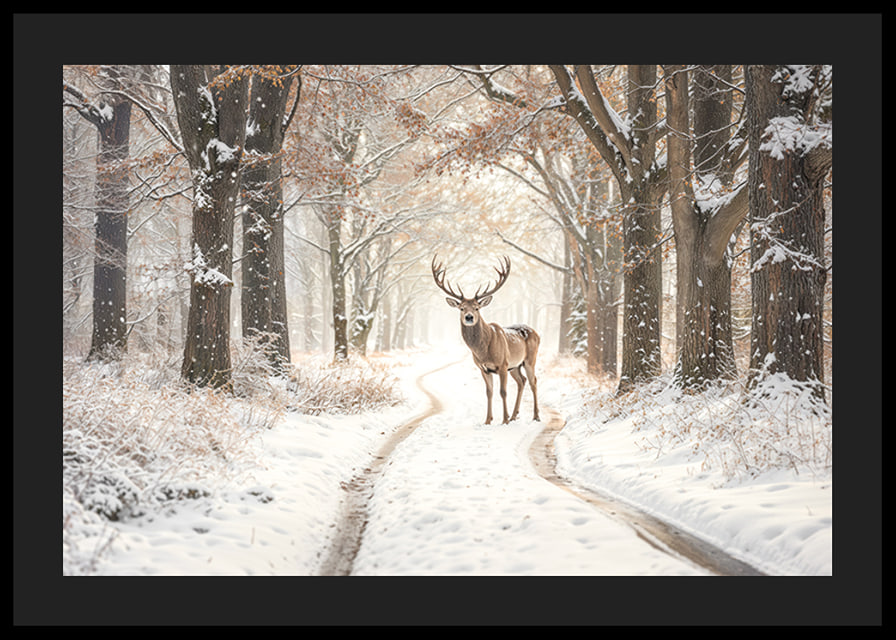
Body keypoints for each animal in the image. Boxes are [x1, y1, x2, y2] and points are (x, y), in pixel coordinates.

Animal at [431, 255, 540, 425]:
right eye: (461, 308)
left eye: (477, 307)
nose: (469, 317)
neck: (483, 351)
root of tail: (537, 333)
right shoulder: (483, 368)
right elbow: (489, 392)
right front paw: (488, 420)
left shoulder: (502, 364)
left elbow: (503, 392)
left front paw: (504, 420)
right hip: (515, 365)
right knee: (521, 381)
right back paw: (515, 415)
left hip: (530, 359)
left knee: (533, 381)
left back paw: (535, 416)